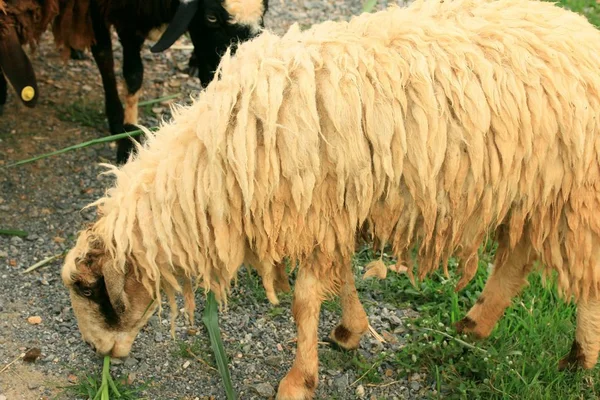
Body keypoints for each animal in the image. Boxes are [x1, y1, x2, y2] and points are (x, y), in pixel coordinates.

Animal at [63, 0, 600, 396]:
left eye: (88, 290)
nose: (98, 352)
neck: (215, 163)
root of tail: (581, 28)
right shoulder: (334, 212)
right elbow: (340, 278)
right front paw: (350, 331)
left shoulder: (318, 210)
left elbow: (303, 301)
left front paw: (298, 381)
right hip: (535, 190)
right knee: (517, 259)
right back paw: (474, 325)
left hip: (578, 194)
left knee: (585, 279)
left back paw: (578, 359)